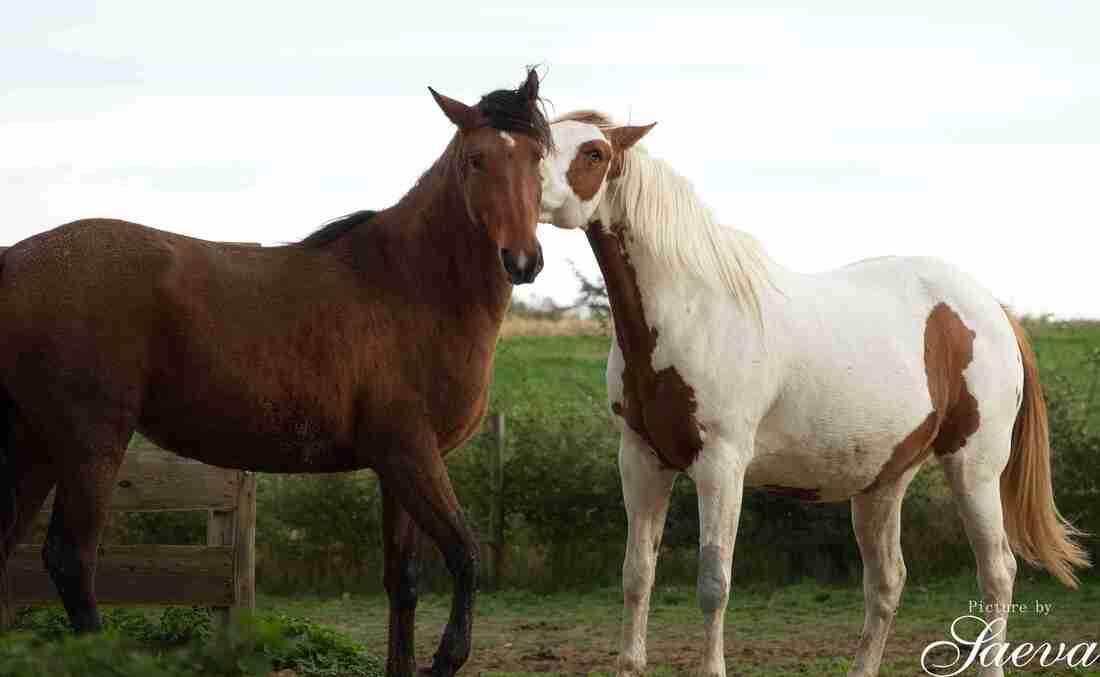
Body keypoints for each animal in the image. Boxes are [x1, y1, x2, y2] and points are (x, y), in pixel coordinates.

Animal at [0, 68, 552, 677]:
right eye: (476, 159)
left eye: (537, 156)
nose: (521, 261)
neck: (410, 284)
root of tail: (14, 259)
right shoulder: (410, 453)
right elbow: (465, 554)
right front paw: (447, 657)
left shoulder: (400, 466)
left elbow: (402, 581)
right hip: (89, 442)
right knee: (70, 559)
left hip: (36, 444)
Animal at [538, 111, 1089, 677]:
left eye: (594, 152)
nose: (530, 190)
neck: (692, 311)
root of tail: (993, 308)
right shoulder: (641, 459)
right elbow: (636, 575)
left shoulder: (721, 466)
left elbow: (714, 584)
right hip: (884, 483)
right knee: (888, 581)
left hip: (974, 468)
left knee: (997, 571)